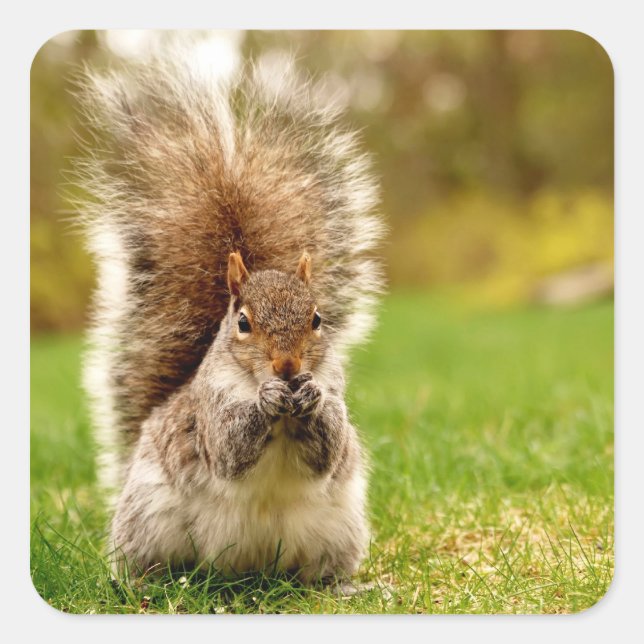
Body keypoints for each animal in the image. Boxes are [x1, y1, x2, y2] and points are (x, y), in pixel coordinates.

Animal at [75, 41, 385, 585]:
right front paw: (266, 400)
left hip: (340, 528)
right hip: (148, 517)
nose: (288, 367)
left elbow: (329, 445)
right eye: (243, 323)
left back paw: (345, 588)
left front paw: (309, 398)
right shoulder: (211, 407)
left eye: (317, 319)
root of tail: (249, 573)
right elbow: (229, 448)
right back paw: (145, 581)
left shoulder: (337, 393)